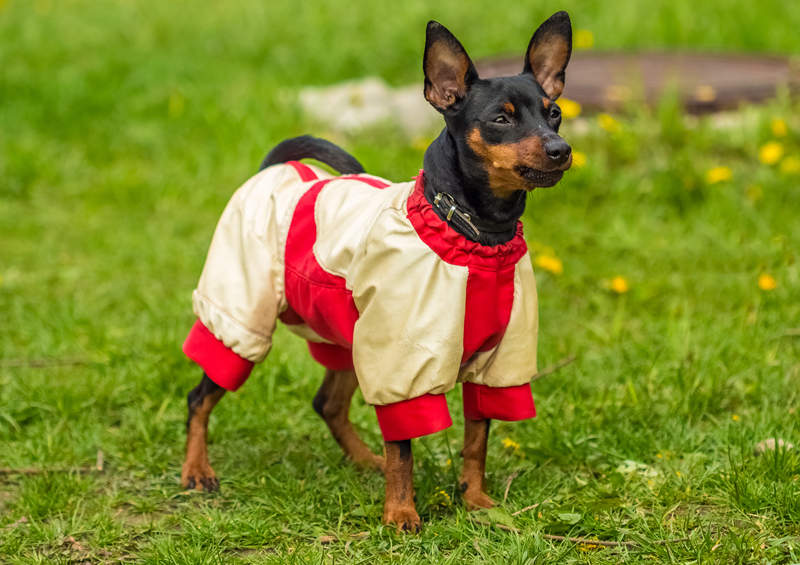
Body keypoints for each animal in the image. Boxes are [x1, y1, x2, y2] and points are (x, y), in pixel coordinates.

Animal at [180, 13, 572, 532]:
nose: (561, 148)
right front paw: (401, 513)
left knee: (327, 404)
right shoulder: (401, 362)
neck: (478, 238)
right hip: (245, 316)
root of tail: (277, 171)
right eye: (501, 119)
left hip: (349, 337)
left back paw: (366, 461)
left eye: (554, 113)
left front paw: (475, 501)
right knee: (201, 396)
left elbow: (477, 440)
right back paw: (196, 470)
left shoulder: (497, 364)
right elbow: (403, 447)